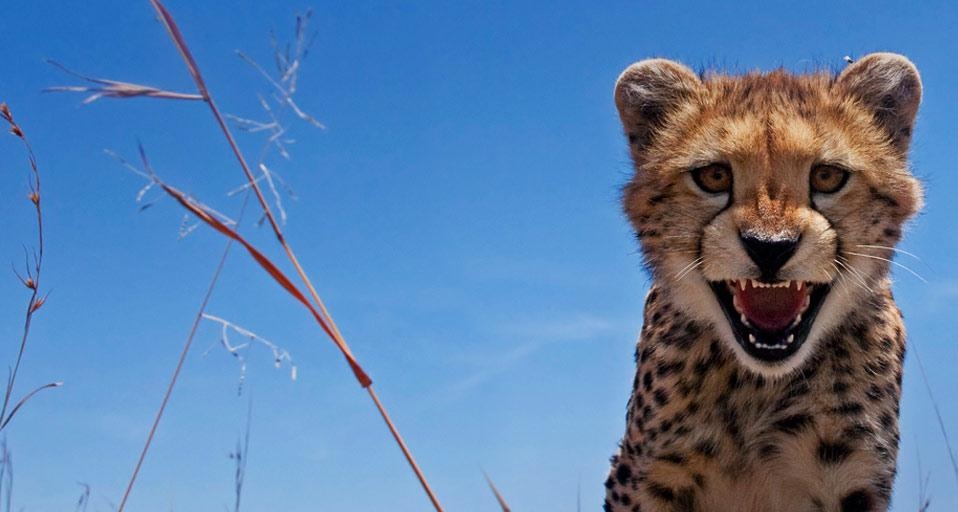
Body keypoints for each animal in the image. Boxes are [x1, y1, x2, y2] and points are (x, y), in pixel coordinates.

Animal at [604, 53, 923, 512]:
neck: (760, 385)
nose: (770, 247)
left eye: (827, 177)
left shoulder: (852, 480)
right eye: (714, 176)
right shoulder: (644, 477)